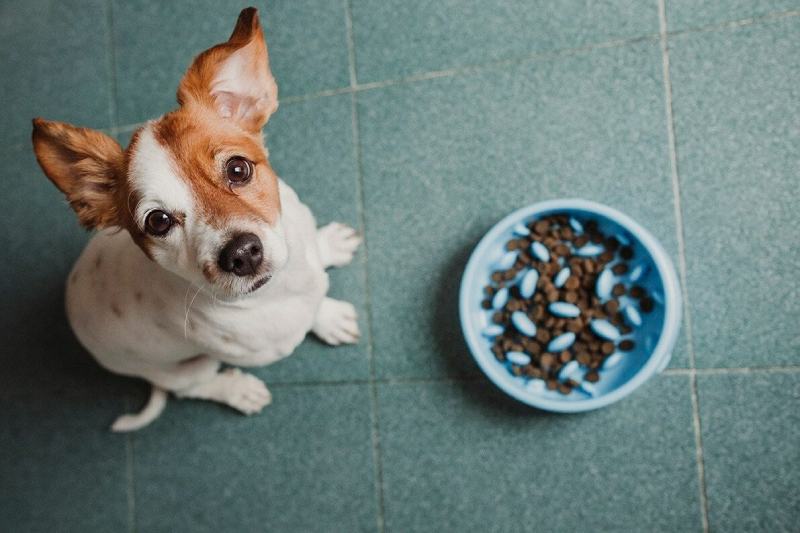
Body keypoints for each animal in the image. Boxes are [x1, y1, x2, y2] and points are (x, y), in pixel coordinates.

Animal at [28, 7, 360, 432]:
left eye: (238, 169)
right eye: (158, 221)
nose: (242, 254)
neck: (278, 287)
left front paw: (328, 251)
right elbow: (311, 311)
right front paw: (329, 318)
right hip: (187, 368)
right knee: (192, 388)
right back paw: (238, 391)